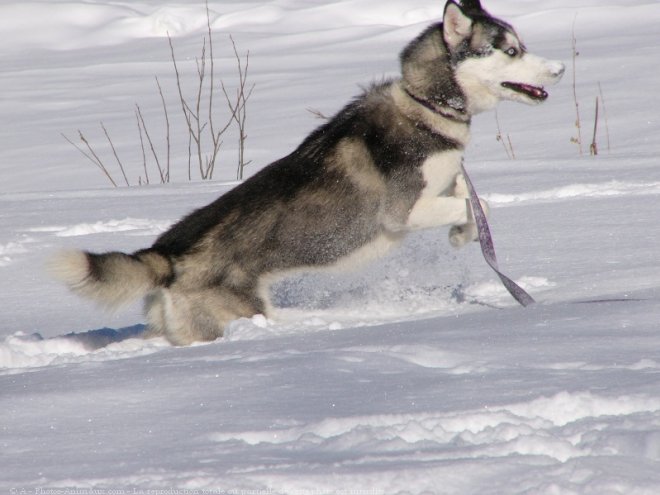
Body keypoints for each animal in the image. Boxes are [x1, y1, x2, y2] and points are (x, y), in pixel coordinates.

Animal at [52, 0, 564, 344]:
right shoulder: (401, 214)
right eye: (511, 51)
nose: (559, 69)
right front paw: (467, 229)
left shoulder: (441, 183)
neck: (425, 105)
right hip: (237, 316)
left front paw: (462, 234)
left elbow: (465, 194)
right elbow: (477, 203)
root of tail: (166, 253)